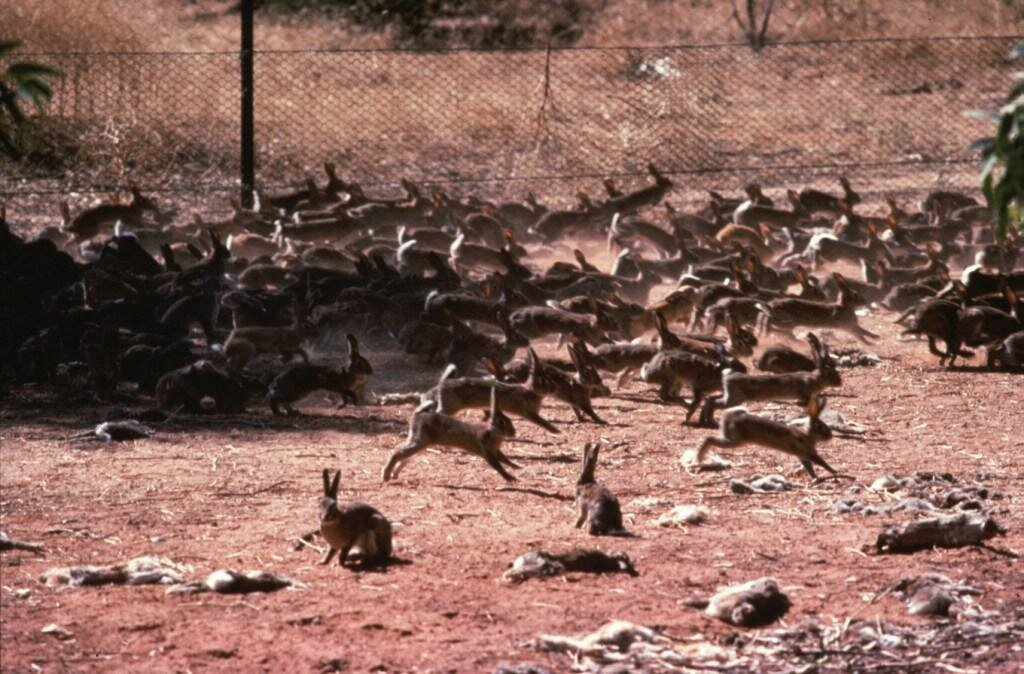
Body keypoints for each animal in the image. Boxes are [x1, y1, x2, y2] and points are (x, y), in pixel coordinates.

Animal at [380, 376, 516, 483]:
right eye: (502, 423)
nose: (513, 433)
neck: (492, 432)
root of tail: (418, 415)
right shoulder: (487, 452)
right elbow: (498, 466)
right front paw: (511, 478)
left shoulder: (496, 451)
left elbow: (506, 460)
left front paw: (516, 467)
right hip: (420, 441)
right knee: (397, 453)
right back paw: (386, 476)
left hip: (420, 442)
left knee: (404, 456)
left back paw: (394, 475)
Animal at [688, 393, 839, 477]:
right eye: (820, 427)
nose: (830, 436)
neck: (807, 434)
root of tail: (727, 418)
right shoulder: (807, 452)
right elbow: (821, 462)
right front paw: (835, 471)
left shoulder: (802, 456)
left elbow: (809, 468)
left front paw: (816, 478)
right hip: (735, 441)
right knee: (709, 439)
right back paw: (699, 457)